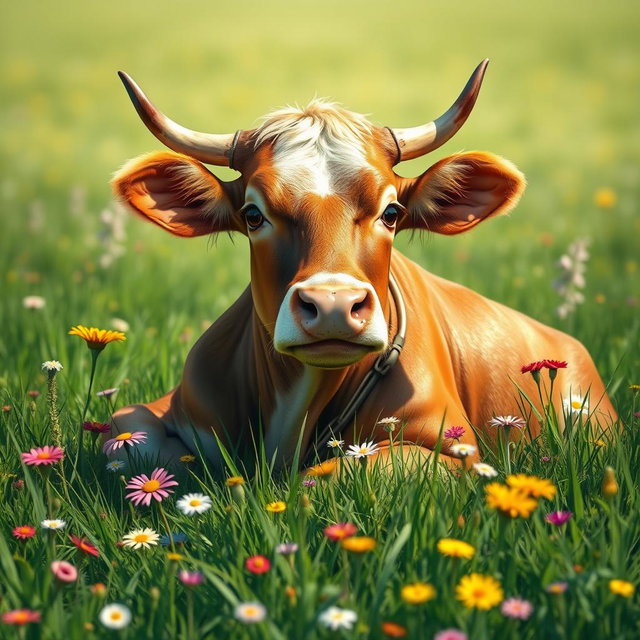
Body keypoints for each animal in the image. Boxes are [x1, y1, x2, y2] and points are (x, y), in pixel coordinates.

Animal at [110, 60, 617, 471]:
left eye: (391, 212)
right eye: (253, 215)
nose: (333, 306)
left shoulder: (453, 448)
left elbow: (332, 475)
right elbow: (128, 441)